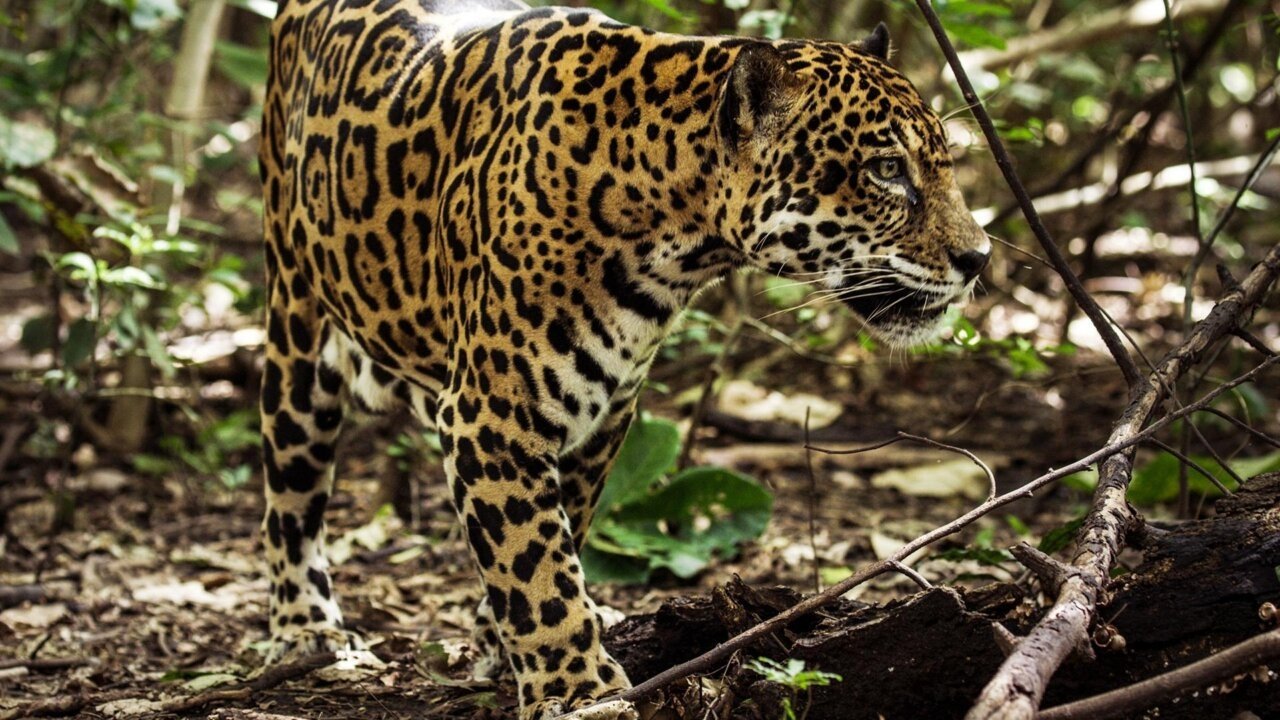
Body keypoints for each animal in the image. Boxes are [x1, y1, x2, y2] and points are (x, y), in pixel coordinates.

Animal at [256, 0, 990, 717]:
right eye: (887, 170)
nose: (979, 257)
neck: (674, 227)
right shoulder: (492, 416)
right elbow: (534, 561)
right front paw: (576, 688)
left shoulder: (602, 413)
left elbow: (558, 533)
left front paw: (500, 645)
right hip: (296, 333)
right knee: (290, 500)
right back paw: (305, 630)